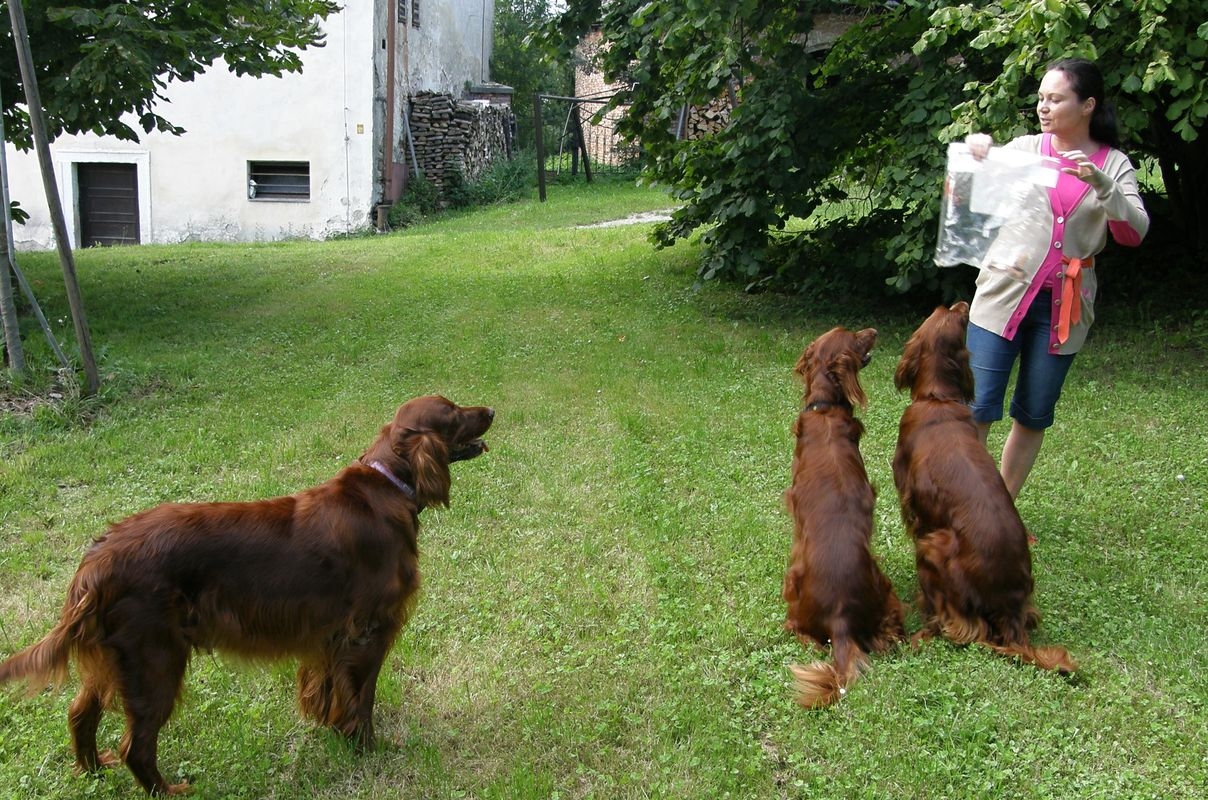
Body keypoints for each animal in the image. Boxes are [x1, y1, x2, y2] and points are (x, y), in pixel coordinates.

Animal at [0, 396, 495, 797]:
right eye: (453, 413)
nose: (490, 411)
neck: (388, 485)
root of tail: (96, 560)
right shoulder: (368, 632)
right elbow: (362, 699)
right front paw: (368, 748)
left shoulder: (330, 639)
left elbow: (330, 693)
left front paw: (333, 731)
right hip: (155, 657)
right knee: (135, 745)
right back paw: (169, 790)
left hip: (112, 658)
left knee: (79, 713)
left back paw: (93, 771)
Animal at [889, 304, 1077, 671]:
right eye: (948, 312)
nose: (963, 304)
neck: (937, 398)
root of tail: (1009, 604)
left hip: (933, 546)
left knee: (957, 626)